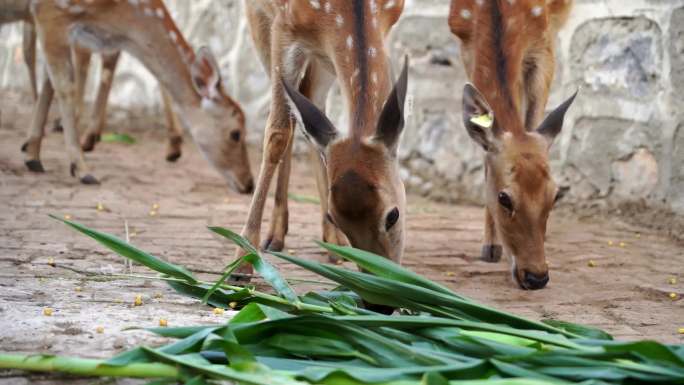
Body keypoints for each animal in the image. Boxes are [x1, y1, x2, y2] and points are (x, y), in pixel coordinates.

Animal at [26, 0, 256, 192]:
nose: (249, 184)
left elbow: (50, 83)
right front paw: (82, 169)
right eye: (236, 133)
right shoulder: (48, 12)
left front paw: (32, 154)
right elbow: (64, 86)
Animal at [238, 0, 406, 276]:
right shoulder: (283, 27)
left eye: (394, 214)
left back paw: (331, 242)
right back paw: (274, 236)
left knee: (309, 101)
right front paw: (242, 259)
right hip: (259, 21)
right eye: (334, 215)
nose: (380, 277)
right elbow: (277, 134)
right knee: (290, 118)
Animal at [448, 0, 576, 288]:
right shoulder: (465, 40)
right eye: (503, 198)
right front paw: (490, 247)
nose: (537, 276)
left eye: (555, 195)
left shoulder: (543, 43)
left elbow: (531, 121)